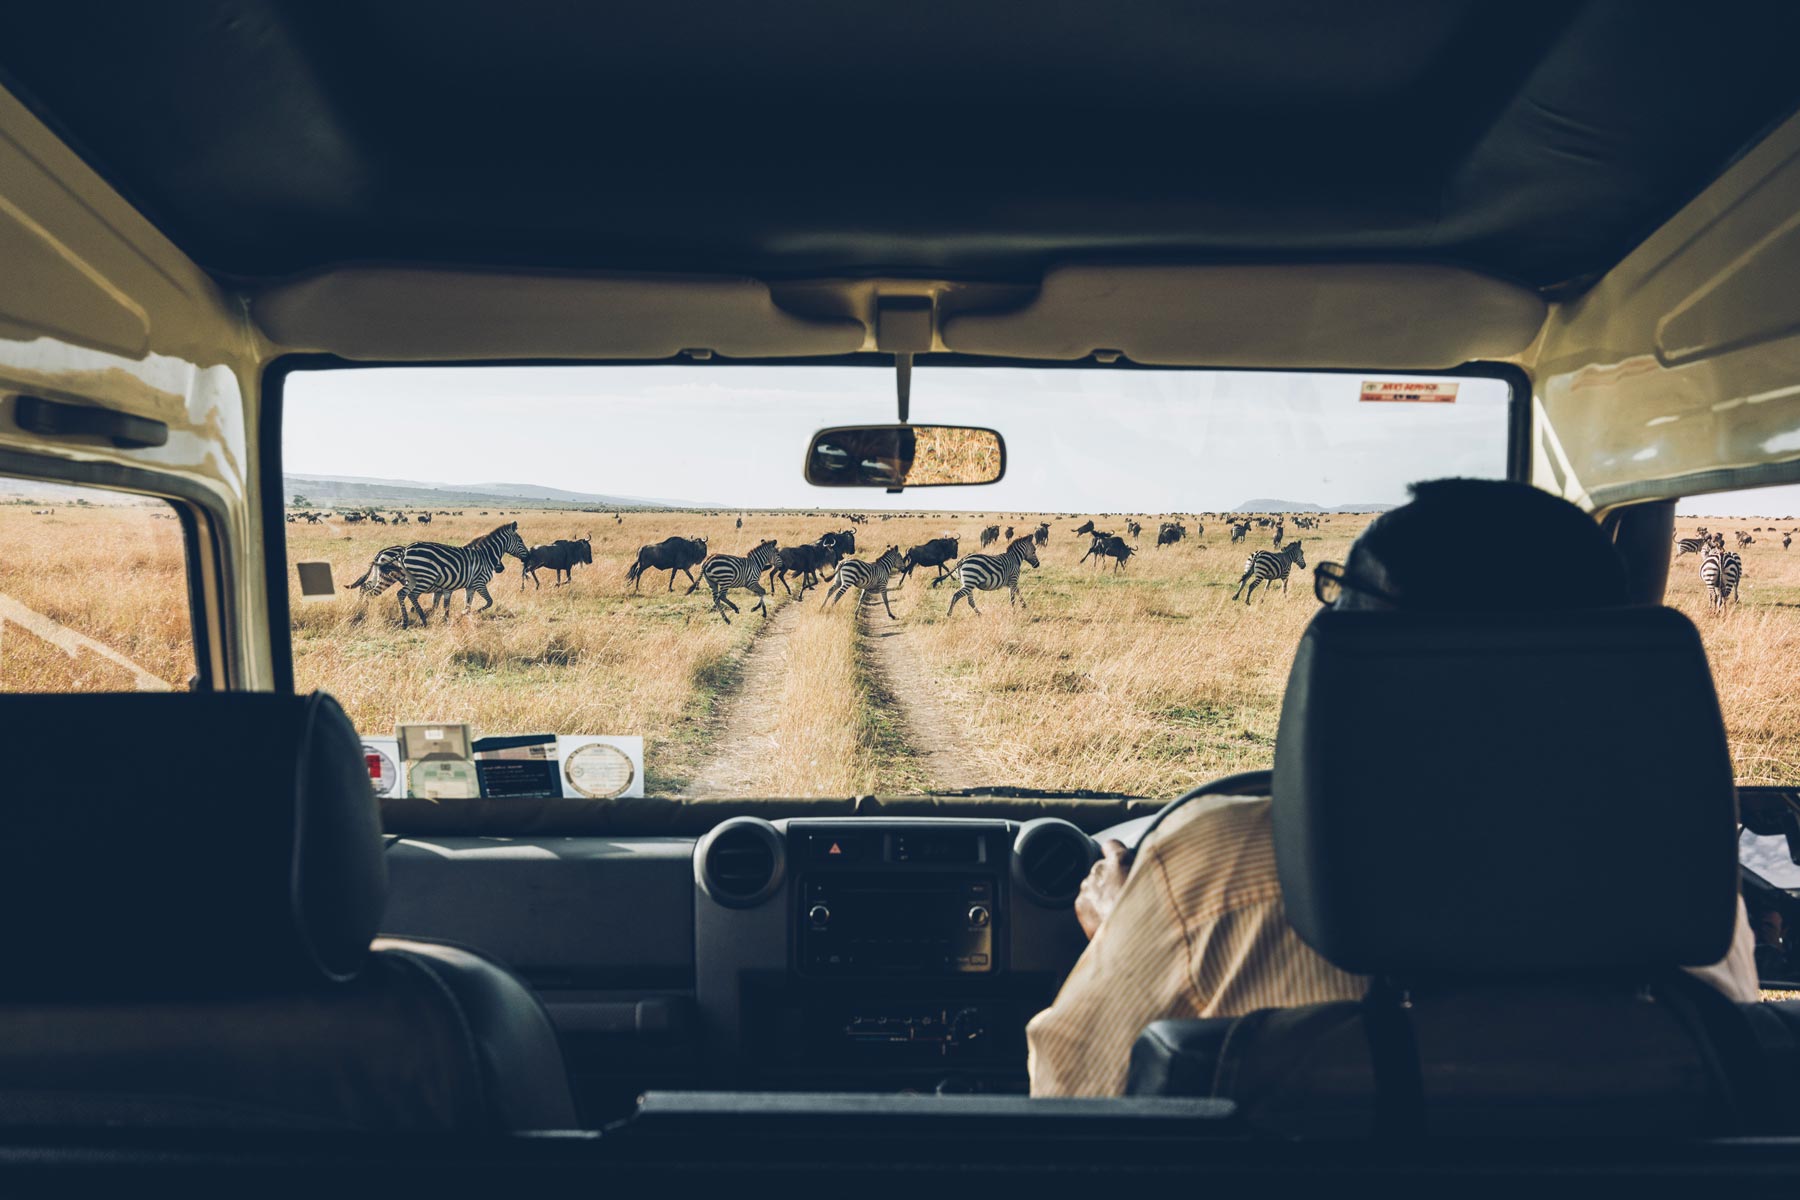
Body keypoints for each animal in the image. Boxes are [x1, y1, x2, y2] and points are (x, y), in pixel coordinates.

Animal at [345, 521, 525, 629]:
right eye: (521, 541)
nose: (501, 569)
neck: (485, 556)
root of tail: (403, 551)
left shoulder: (453, 587)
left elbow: (450, 605)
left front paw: (455, 618)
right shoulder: (478, 583)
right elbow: (488, 602)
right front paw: (470, 614)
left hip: (397, 578)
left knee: (371, 588)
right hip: (407, 578)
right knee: (395, 594)